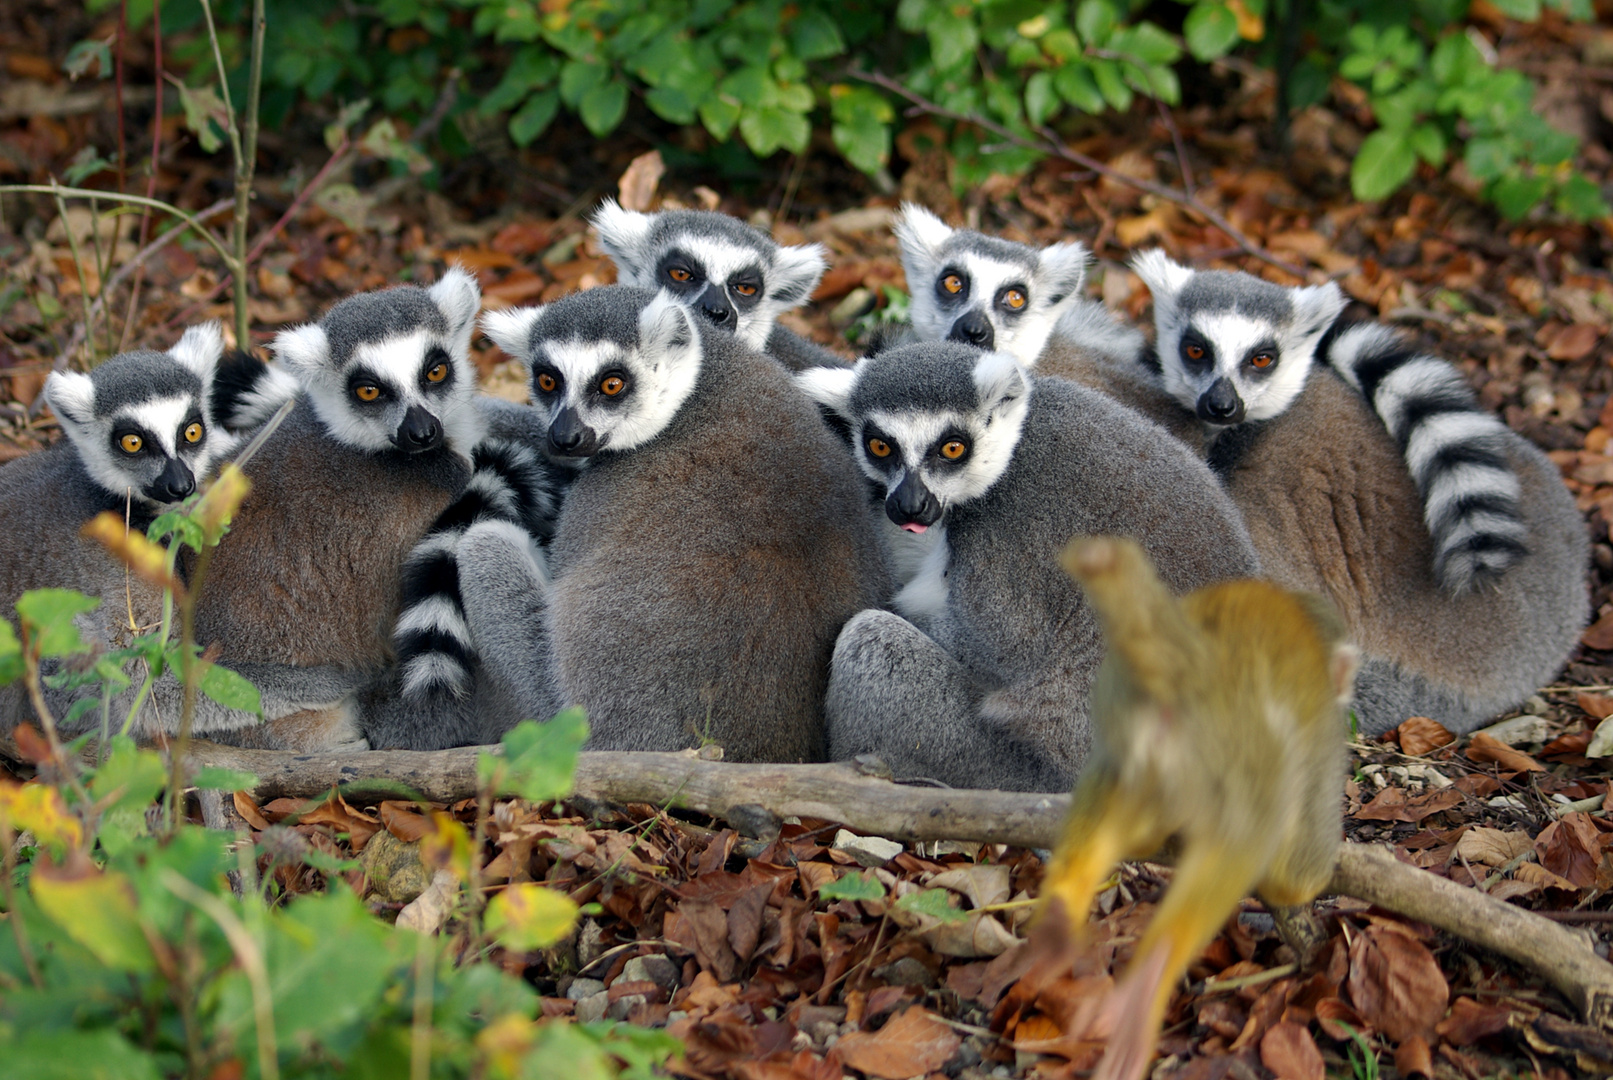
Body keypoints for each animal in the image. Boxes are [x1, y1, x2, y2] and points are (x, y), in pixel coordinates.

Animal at [1045, 538, 1361, 1080]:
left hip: (1121, 712)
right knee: (1248, 833)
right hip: (1241, 747)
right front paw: (1301, 888)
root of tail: (1191, 659)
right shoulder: (1326, 739)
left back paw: (1063, 905)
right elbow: (1295, 877)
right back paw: (1153, 974)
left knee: (1116, 784)